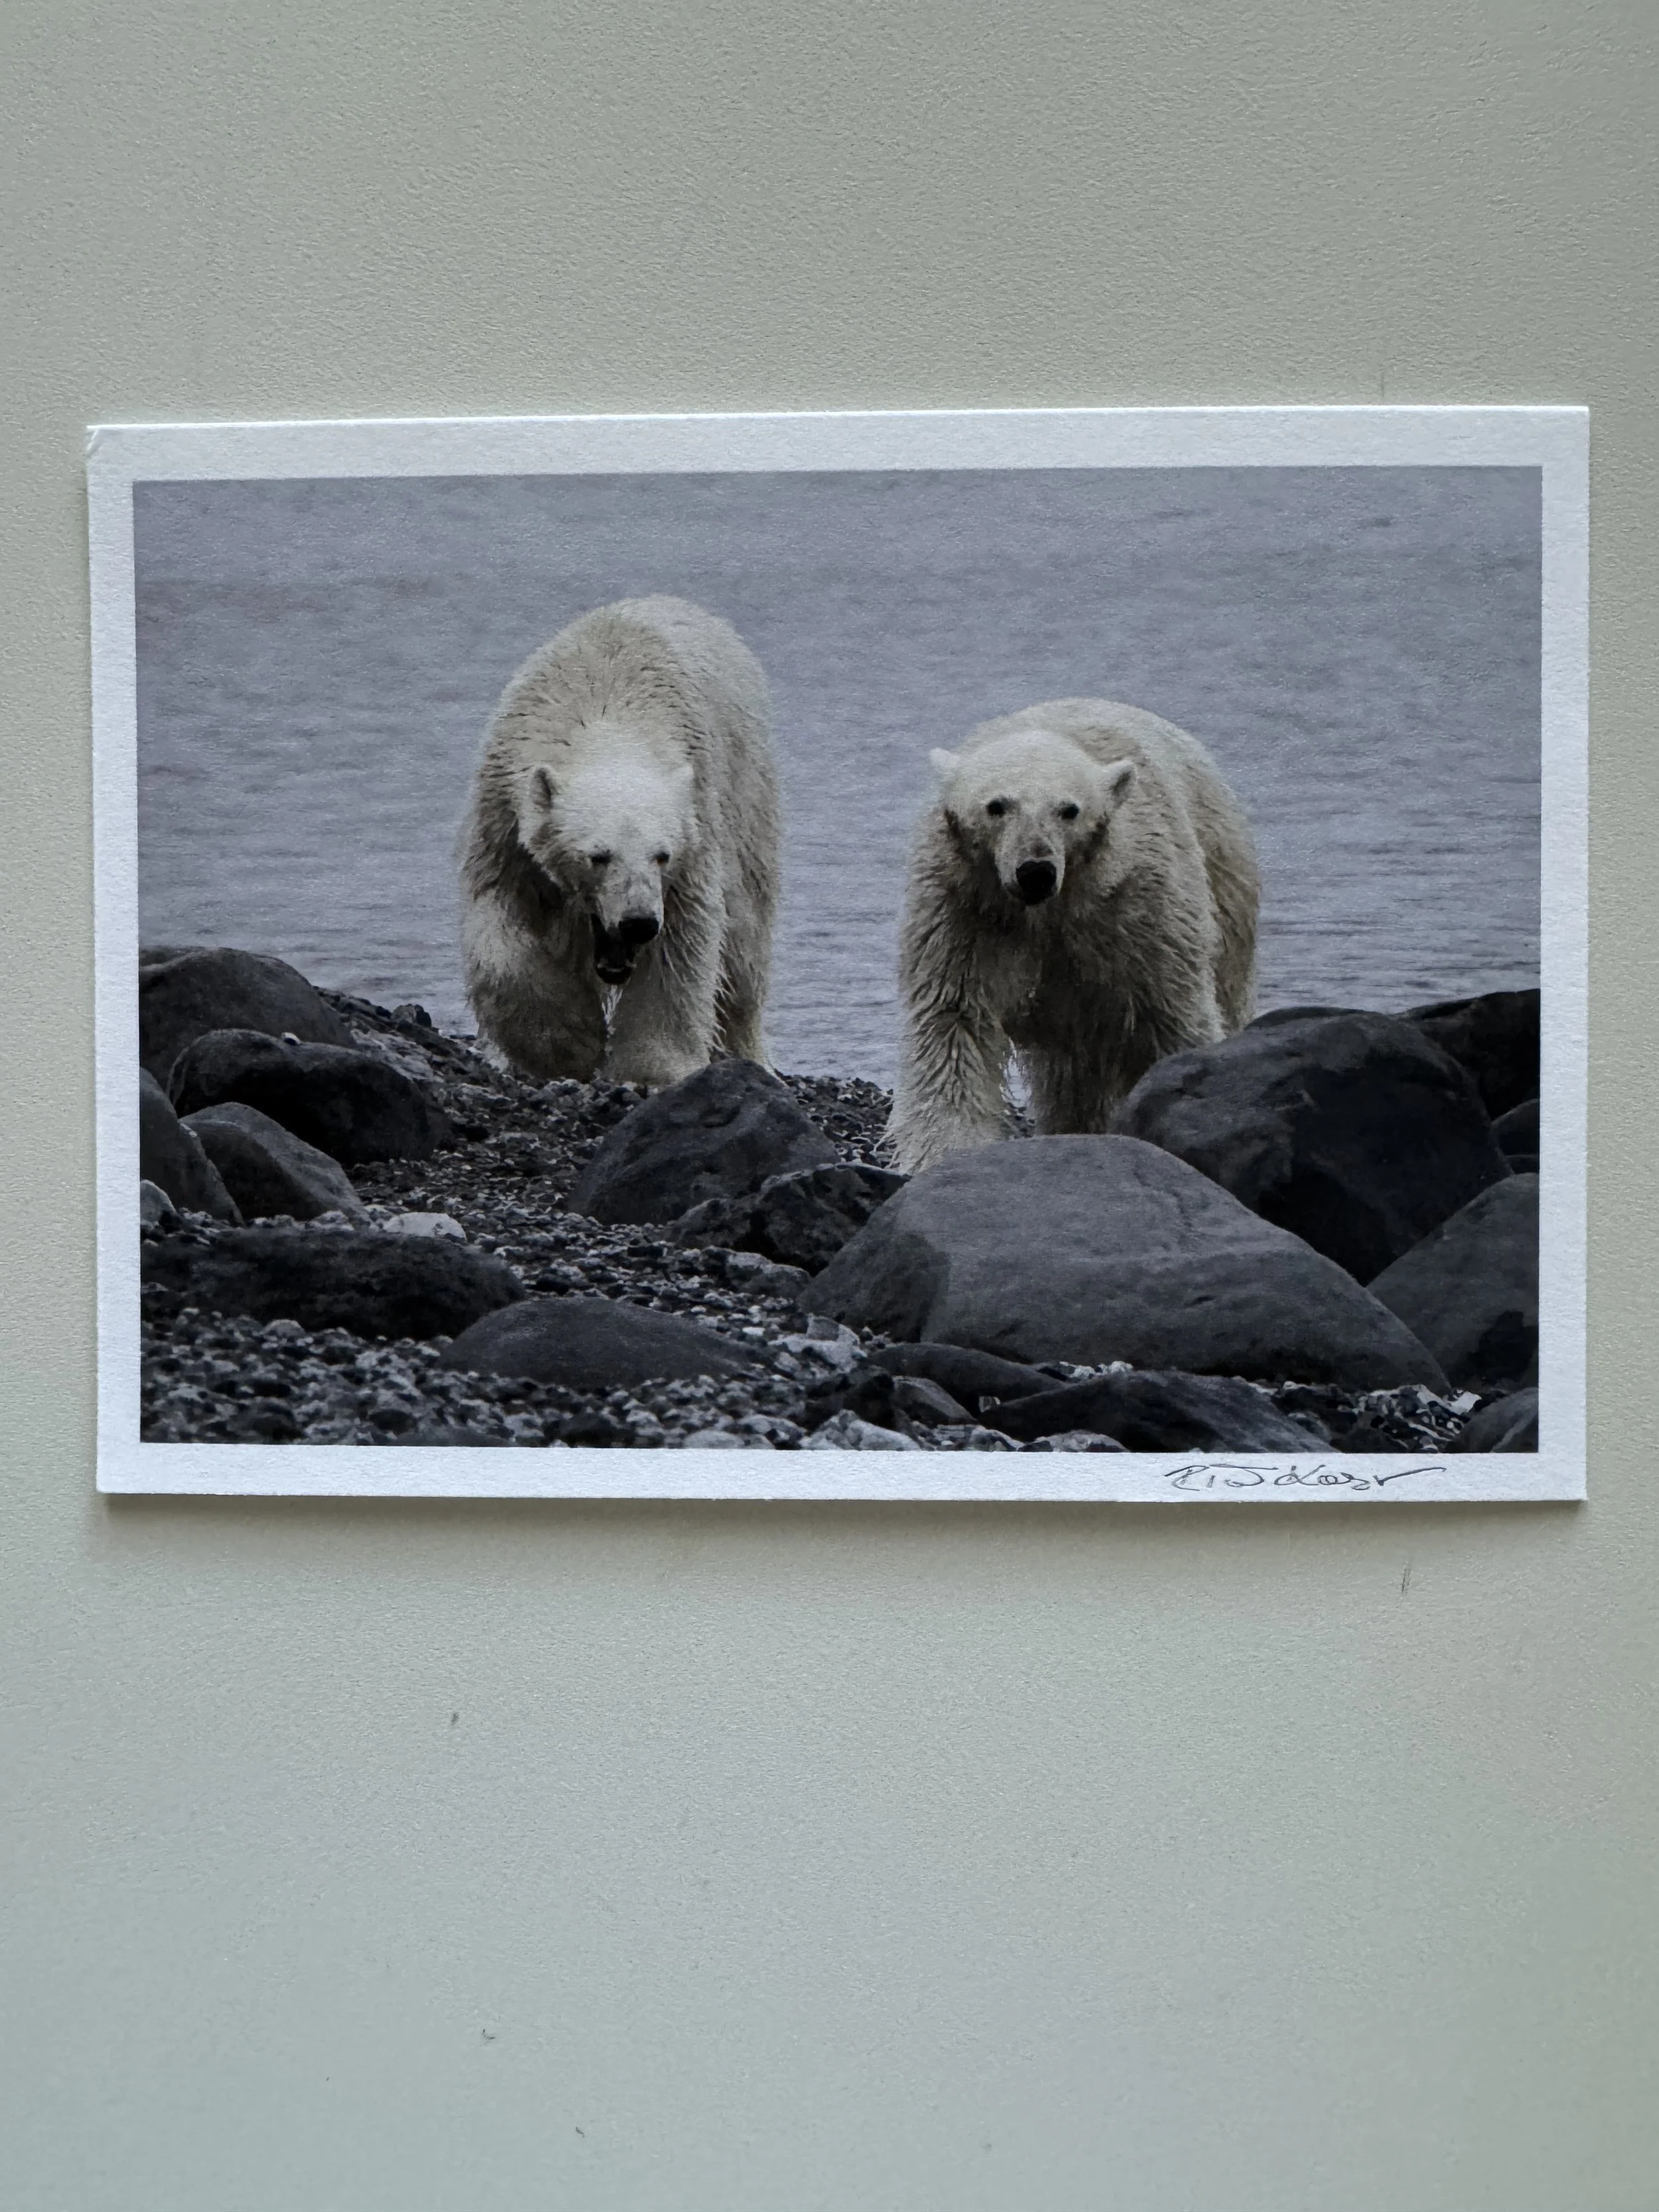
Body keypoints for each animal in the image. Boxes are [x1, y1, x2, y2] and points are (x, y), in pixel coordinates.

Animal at [458, 596, 780, 1090]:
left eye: (661, 855)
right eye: (598, 856)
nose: (638, 923)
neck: (607, 704)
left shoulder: (697, 831)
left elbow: (683, 946)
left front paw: (653, 1067)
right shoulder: (504, 824)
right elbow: (500, 926)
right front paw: (567, 1044)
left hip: (749, 799)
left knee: (744, 943)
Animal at [886, 698, 1259, 1173]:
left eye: (1069, 809)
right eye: (996, 806)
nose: (1035, 871)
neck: (1047, 911)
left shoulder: (1141, 910)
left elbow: (1170, 1017)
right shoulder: (964, 915)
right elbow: (954, 1024)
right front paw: (947, 1152)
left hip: (1227, 894)